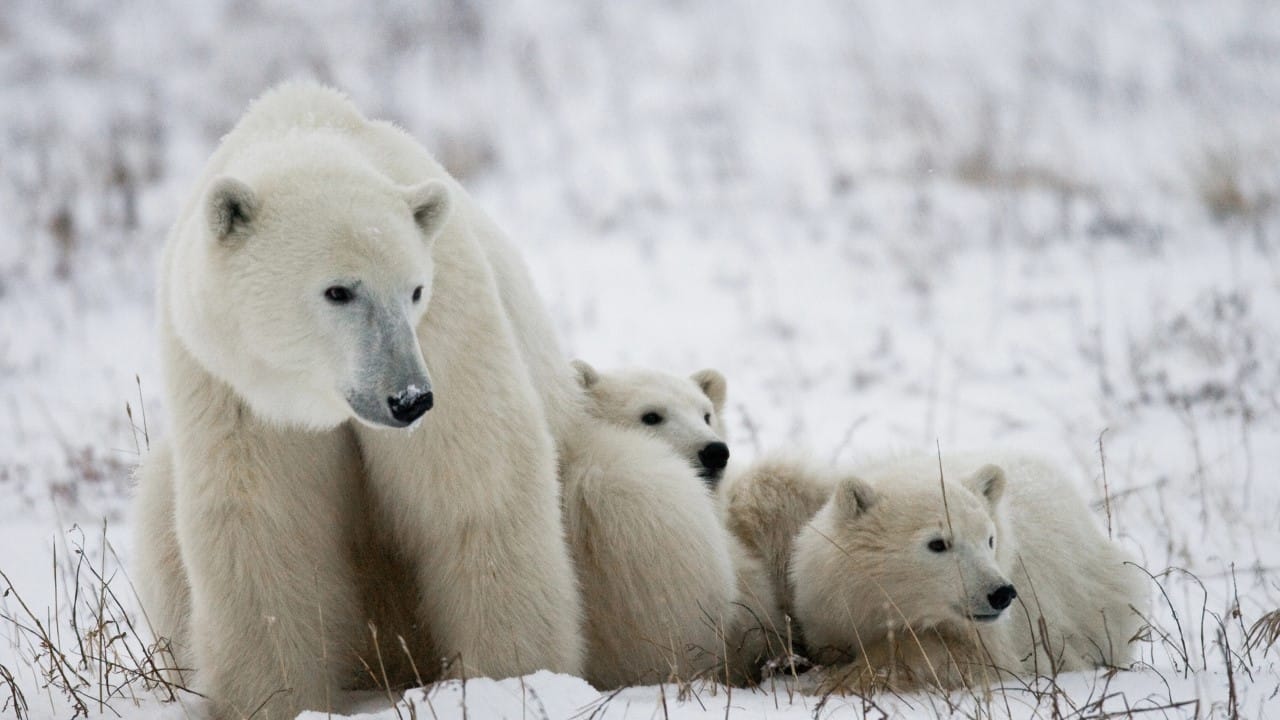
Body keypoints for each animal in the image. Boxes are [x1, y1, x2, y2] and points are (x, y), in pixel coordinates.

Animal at [132, 81, 583, 719]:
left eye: (415, 289)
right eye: (338, 291)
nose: (409, 399)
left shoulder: (450, 326)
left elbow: (473, 484)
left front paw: (510, 680)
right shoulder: (231, 385)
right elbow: (263, 522)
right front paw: (274, 697)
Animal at [788, 452, 1150, 691]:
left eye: (989, 539)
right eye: (938, 543)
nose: (1001, 593)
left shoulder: (1003, 637)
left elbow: (954, 656)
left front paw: (845, 678)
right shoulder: (831, 611)